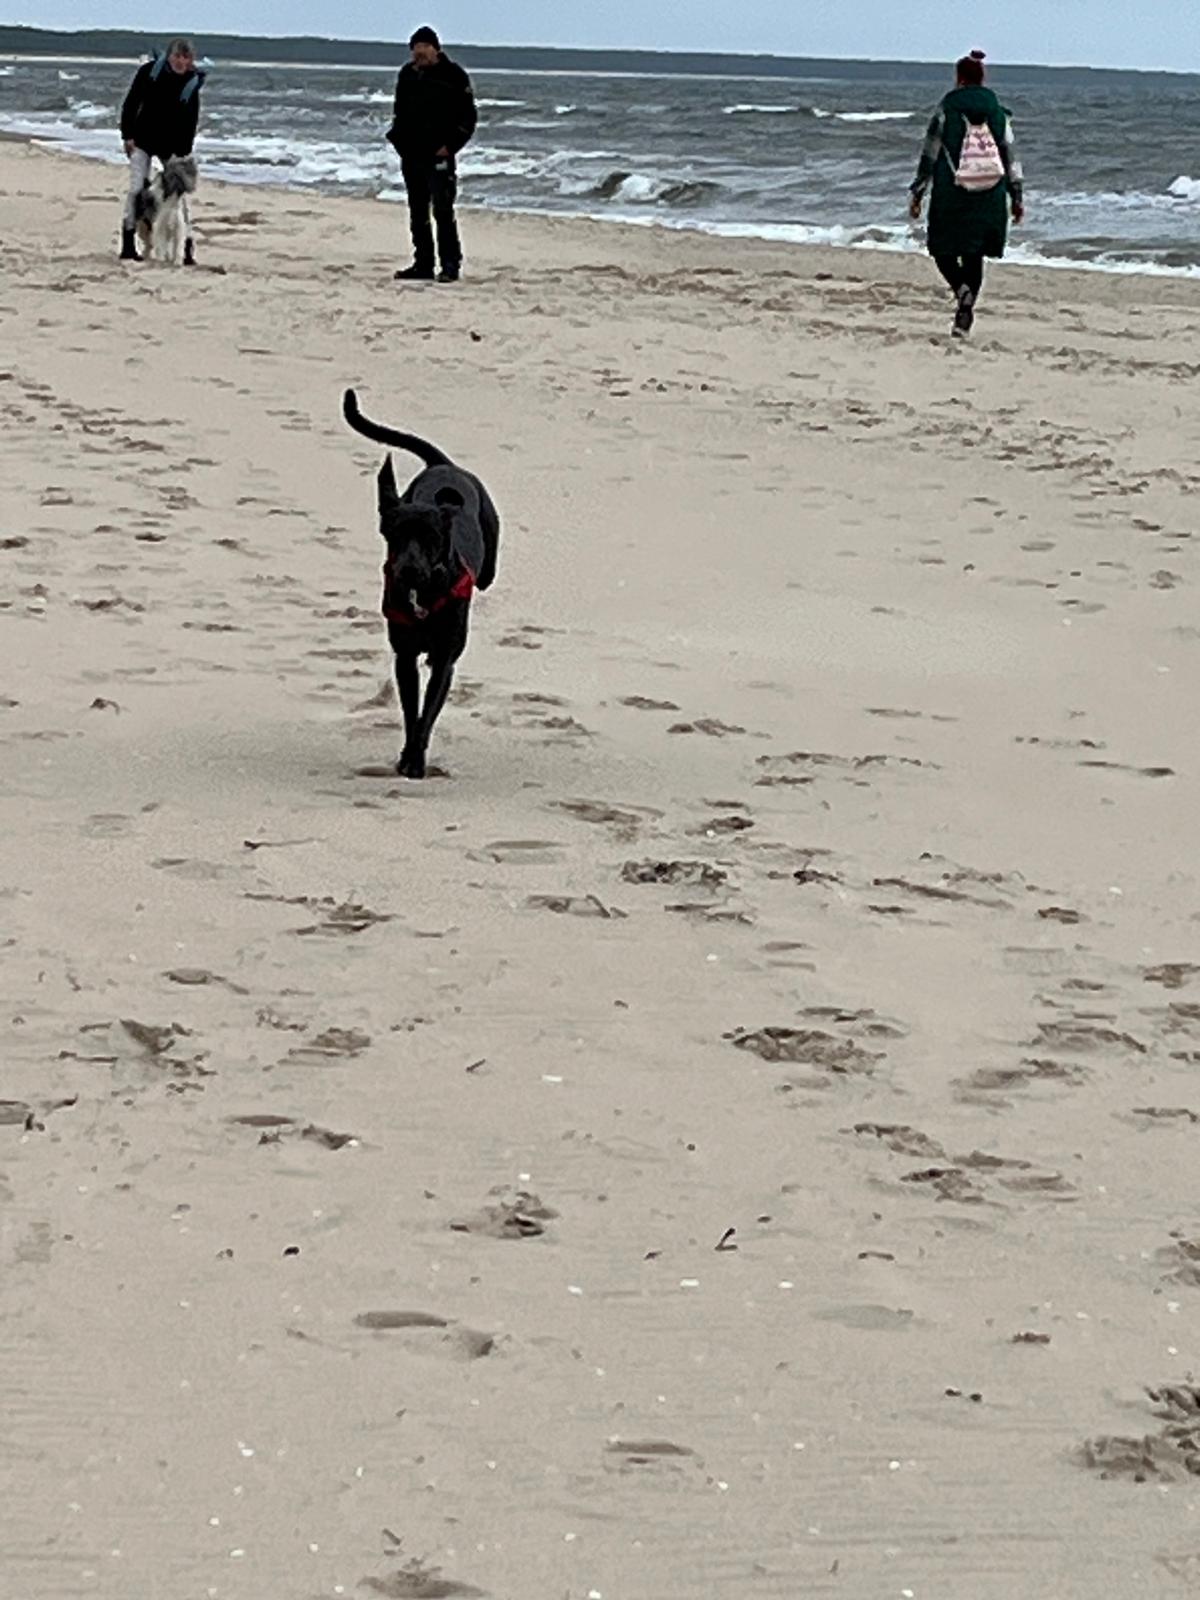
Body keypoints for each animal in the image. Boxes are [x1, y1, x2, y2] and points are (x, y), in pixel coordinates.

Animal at [342, 387, 500, 779]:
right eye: (395, 534)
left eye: (432, 538)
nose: (409, 570)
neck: (424, 593)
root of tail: (443, 465)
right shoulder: (405, 655)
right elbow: (411, 709)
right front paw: (407, 757)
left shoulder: (445, 658)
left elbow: (428, 711)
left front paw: (415, 760)